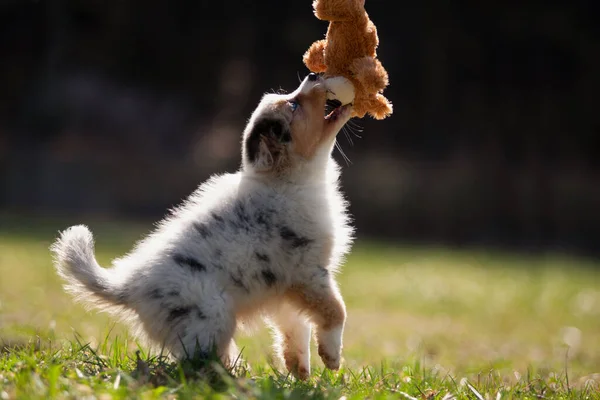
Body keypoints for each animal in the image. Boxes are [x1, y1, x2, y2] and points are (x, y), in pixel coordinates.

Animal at [51, 73, 354, 380]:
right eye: (293, 105)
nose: (313, 75)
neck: (290, 181)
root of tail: (129, 285)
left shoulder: (284, 291)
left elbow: (295, 330)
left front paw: (301, 371)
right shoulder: (308, 272)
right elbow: (336, 310)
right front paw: (332, 357)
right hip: (212, 316)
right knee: (197, 362)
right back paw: (231, 380)